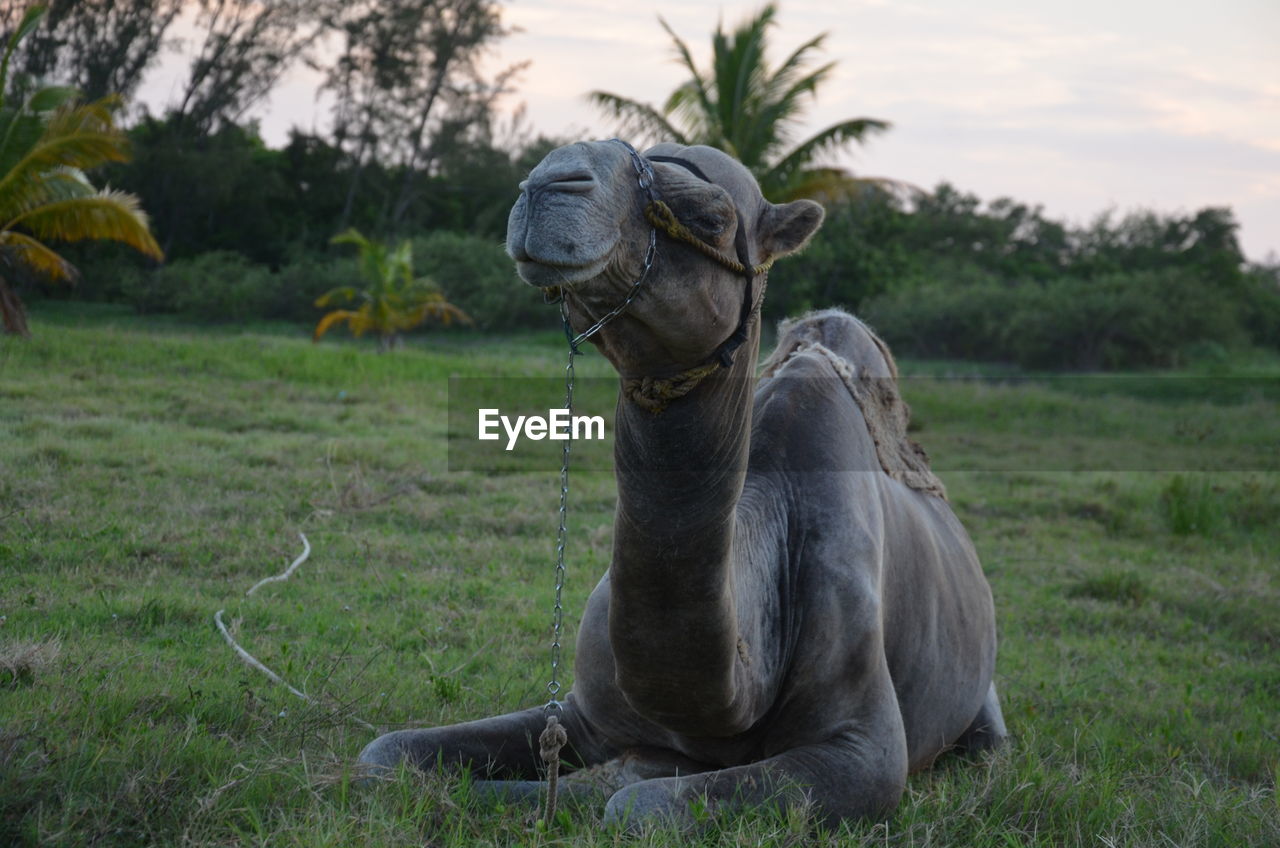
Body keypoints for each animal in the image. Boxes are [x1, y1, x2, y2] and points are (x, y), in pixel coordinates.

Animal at [355, 139, 1003, 830]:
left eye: (709, 217)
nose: (547, 183)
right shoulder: (583, 714)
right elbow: (384, 755)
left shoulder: (864, 751)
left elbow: (634, 807)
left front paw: (618, 783)